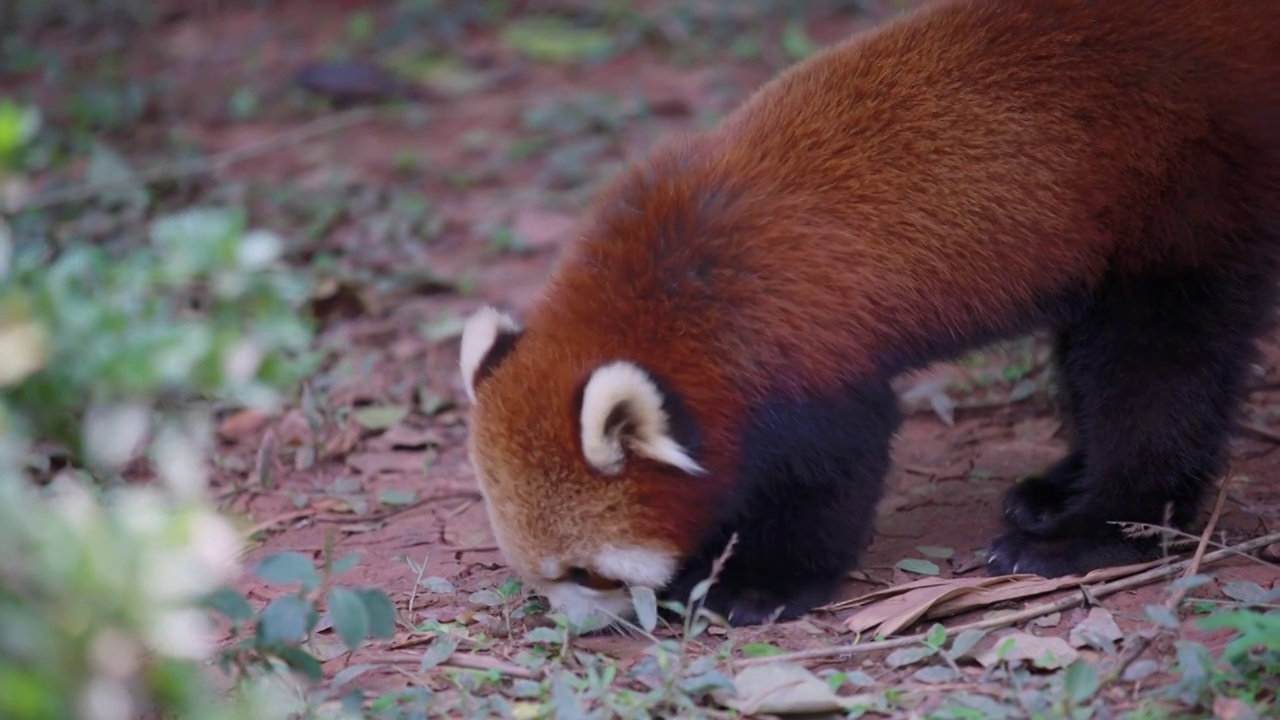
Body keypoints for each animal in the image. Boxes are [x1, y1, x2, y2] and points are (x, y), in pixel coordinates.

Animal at [455, 0, 1274, 627]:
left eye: (586, 572)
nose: (575, 626)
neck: (673, 283)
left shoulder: (807, 355)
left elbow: (829, 483)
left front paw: (760, 585)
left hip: (1188, 197)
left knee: (1161, 369)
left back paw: (1093, 529)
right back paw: (1056, 487)